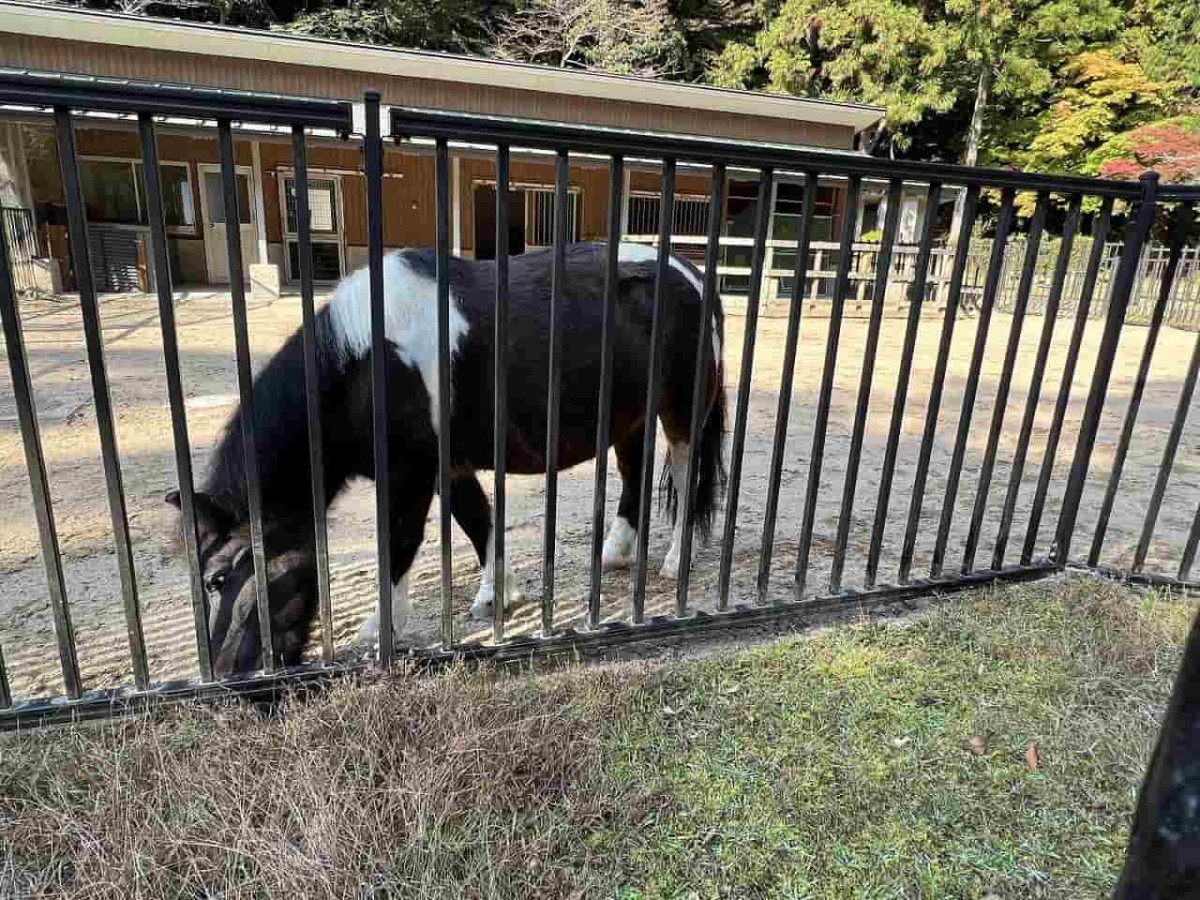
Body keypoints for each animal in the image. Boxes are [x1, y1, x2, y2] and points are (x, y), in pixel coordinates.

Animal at [166, 240, 729, 676]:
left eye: (220, 579)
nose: (228, 674)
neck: (367, 365)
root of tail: (693, 274)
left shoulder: (410, 475)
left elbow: (399, 545)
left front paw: (380, 630)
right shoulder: (448, 468)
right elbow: (479, 523)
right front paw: (497, 596)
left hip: (681, 413)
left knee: (686, 473)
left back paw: (676, 561)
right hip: (630, 419)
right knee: (635, 476)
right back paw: (616, 553)